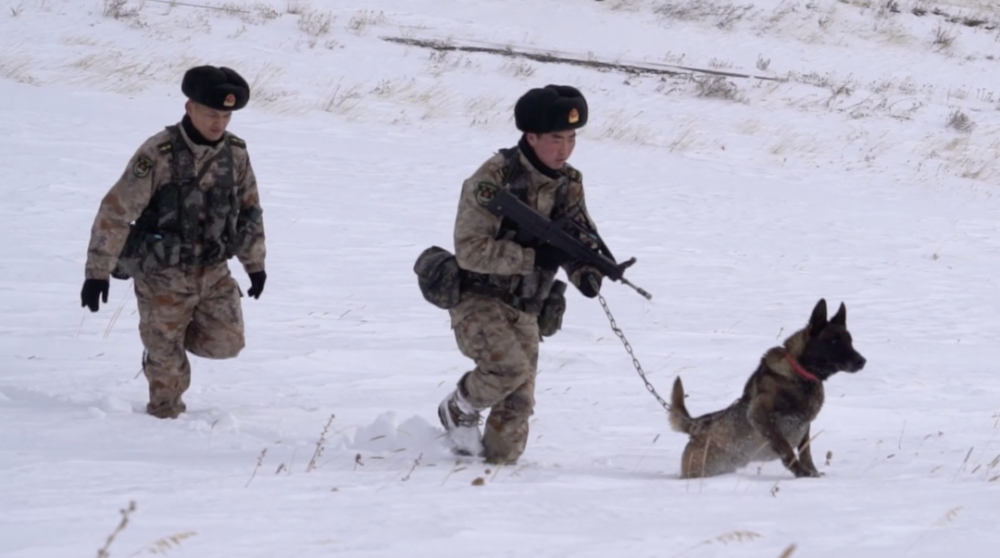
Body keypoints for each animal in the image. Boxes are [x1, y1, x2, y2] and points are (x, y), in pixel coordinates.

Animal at [672, 300, 868, 480]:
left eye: (850, 341)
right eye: (834, 342)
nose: (862, 361)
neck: (799, 373)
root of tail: (696, 426)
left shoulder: (804, 425)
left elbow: (805, 452)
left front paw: (812, 473)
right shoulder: (760, 415)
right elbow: (785, 449)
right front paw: (801, 473)